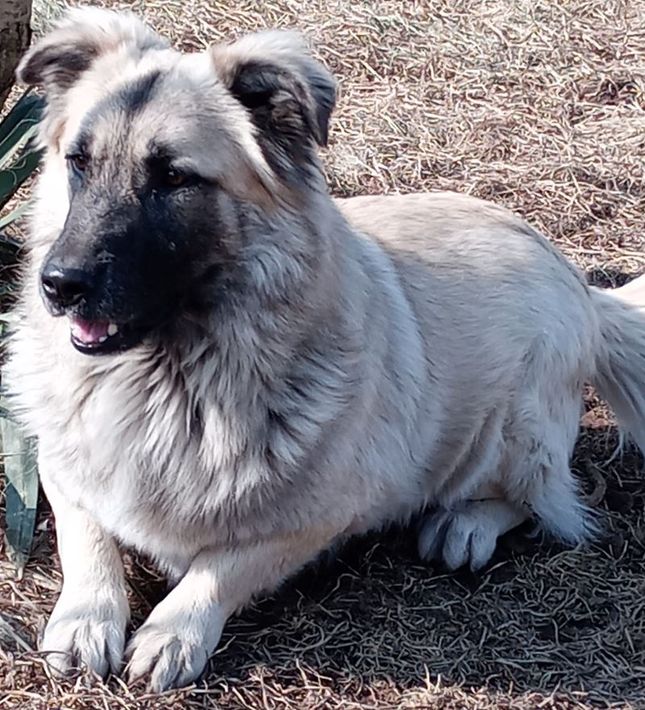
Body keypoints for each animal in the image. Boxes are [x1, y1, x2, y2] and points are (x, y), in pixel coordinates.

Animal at [5, 7, 645, 692]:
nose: (58, 284)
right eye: (79, 162)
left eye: (173, 177)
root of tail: (583, 288)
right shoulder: (60, 466)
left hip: (515, 428)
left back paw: (465, 523)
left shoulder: (319, 517)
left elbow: (220, 567)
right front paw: (87, 620)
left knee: (542, 501)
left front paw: (173, 632)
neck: (171, 382)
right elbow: (87, 539)